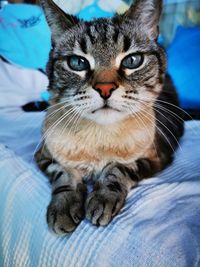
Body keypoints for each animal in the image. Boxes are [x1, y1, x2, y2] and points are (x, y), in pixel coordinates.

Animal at [35, 0, 184, 234]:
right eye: (78, 63)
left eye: (132, 60)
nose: (105, 89)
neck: (100, 138)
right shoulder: (44, 156)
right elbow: (64, 174)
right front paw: (63, 207)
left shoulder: (156, 158)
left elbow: (117, 169)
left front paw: (102, 199)